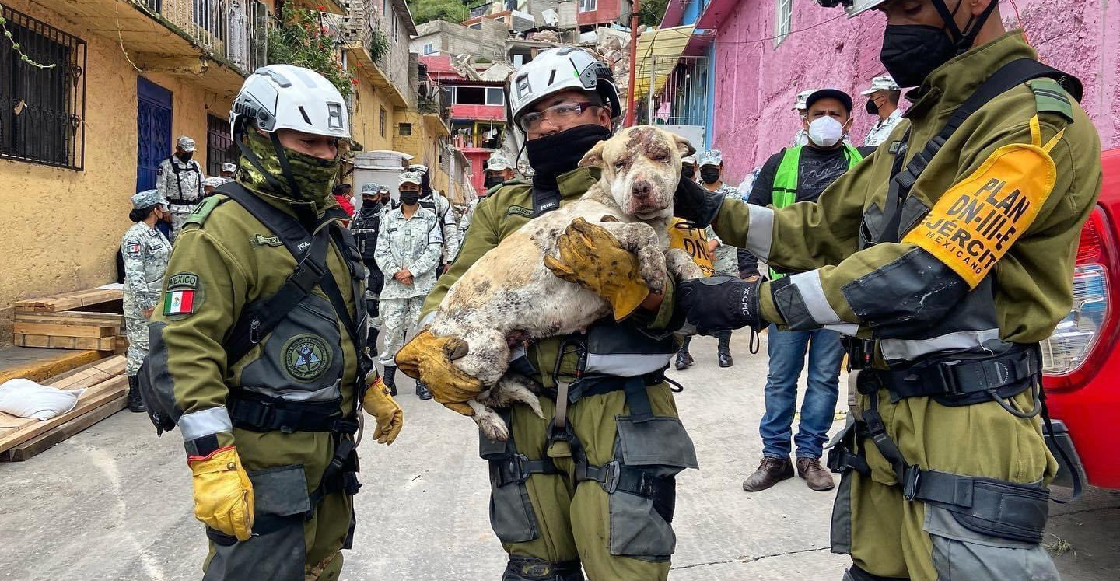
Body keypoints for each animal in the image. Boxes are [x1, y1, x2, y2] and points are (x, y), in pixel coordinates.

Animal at [416, 124, 703, 438]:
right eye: (620, 164)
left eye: (660, 155)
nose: (640, 189)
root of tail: (437, 326)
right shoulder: (573, 237)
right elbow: (641, 231)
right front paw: (653, 266)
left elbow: (676, 253)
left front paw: (692, 277)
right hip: (486, 349)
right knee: (466, 397)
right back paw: (491, 420)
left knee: (490, 392)